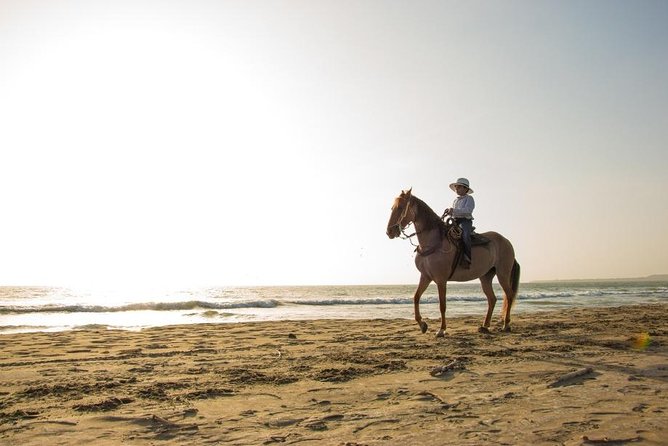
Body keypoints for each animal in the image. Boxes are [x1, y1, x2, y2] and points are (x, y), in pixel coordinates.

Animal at [384, 186, 520, 336]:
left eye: (401, 207)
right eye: (392, 207)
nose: (389, 232)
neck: (433, 242)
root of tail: (506, 241)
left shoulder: (441, 279)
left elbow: (442, 304)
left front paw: (441, 330)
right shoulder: (425, 276)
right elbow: (416, 297)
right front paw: (422, 325)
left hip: (503, 274)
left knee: (509, 295)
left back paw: (506, 325)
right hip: (486, 276)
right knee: (492, 299)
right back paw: (484, 326)